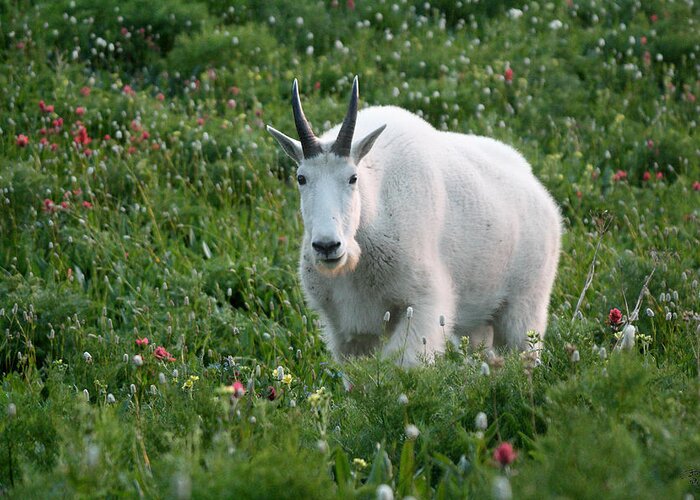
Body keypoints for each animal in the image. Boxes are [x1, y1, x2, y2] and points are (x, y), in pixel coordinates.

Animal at [268, 78, 564, 368]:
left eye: (353, 178)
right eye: (301, 178)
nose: (327, 246)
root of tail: (541, 193)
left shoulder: (423, 303)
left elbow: (403, 364)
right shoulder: (347, 330)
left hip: (526, 303)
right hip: (480, 321)